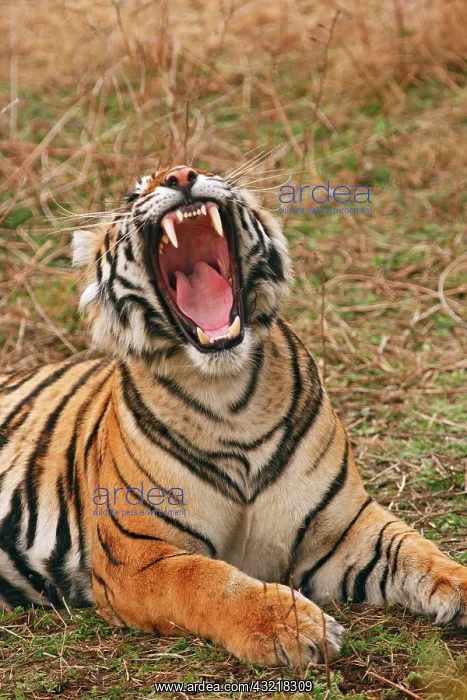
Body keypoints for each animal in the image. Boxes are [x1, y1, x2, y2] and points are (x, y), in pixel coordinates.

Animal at [0, 164, 466, 668]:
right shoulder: (137, 556)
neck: (229, 395)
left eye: (204, 169)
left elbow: (415, 550)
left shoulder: (343, 530)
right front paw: (293, 625)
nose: (180, 175)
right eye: (132, 194)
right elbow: (204, 581)